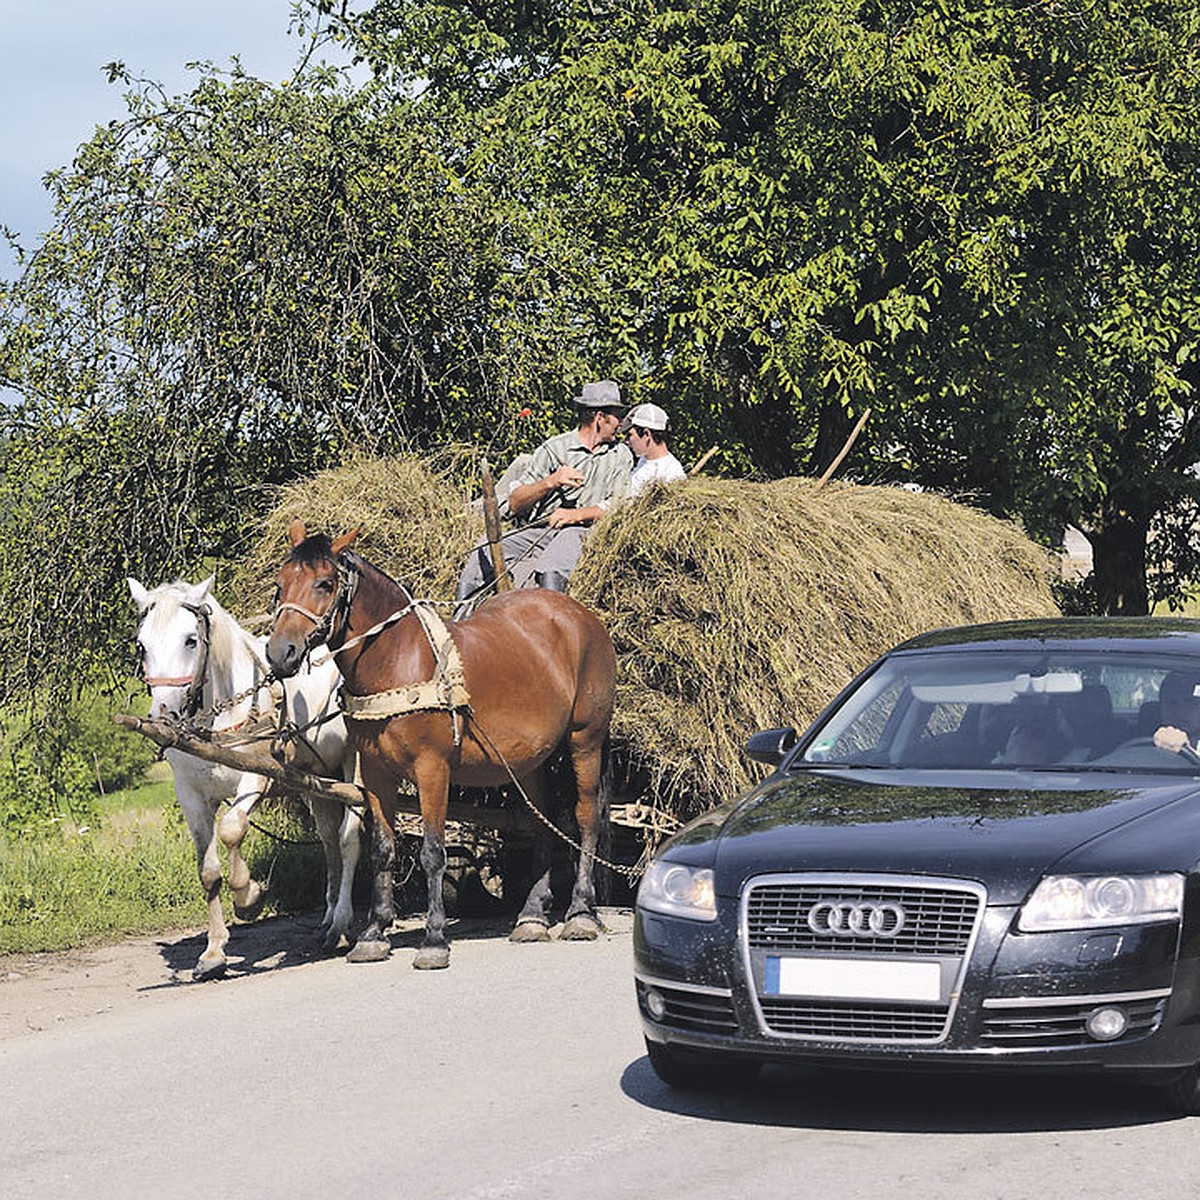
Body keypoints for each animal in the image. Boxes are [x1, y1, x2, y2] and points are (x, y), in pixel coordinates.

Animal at [129, 576, 360, 979]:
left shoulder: (254, 779)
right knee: (330, 839)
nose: (163, 714)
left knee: (349, 838)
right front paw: (213, 953)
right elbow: (208, 870)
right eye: (142, 645)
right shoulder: (190, 794)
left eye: (191, 640)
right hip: (319, 778)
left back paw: (344, 921)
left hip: (354, 762)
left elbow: (232, 829)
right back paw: (330, 920)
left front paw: (249, 897)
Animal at [266, 520, 614, 969]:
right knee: (543, 820)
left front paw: (433, 938)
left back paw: (581, 912)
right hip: (531, 759)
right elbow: (382, 849)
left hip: (585, 739)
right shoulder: (375, 773)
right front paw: (373, 934)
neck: (398, 660)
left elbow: (433, 851)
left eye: (325, 583)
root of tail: (578, 615)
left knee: (585, 816)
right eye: (280, 584)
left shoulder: (432, 769)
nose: (280, 653)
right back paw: (532, 915)